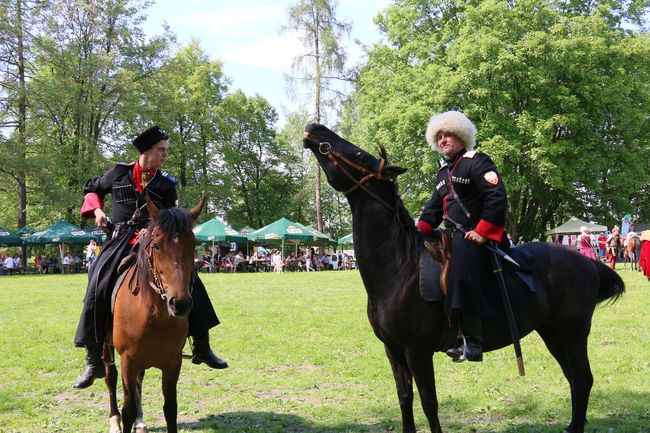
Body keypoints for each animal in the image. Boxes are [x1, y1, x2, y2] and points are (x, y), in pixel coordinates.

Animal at [105, 199, 204, 432]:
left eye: (193, 244)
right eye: (157, 246)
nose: (180, 303)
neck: (156, 318)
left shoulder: (172, 362)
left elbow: (170, 408)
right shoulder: (128, 361)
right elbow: (128, 409)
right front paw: (124, 418)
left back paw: (140, 422)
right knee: (110, 377)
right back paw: (114, 420)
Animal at [304, 122, 624, 432]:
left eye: (359, 154)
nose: (314, 127)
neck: (400, 268)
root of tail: (587, 263)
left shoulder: (418, 352)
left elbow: (429, 404)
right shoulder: (393, 351)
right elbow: (405, 398)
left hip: (573, 331)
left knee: (582, 379)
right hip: (552, 332)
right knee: (573, 378)